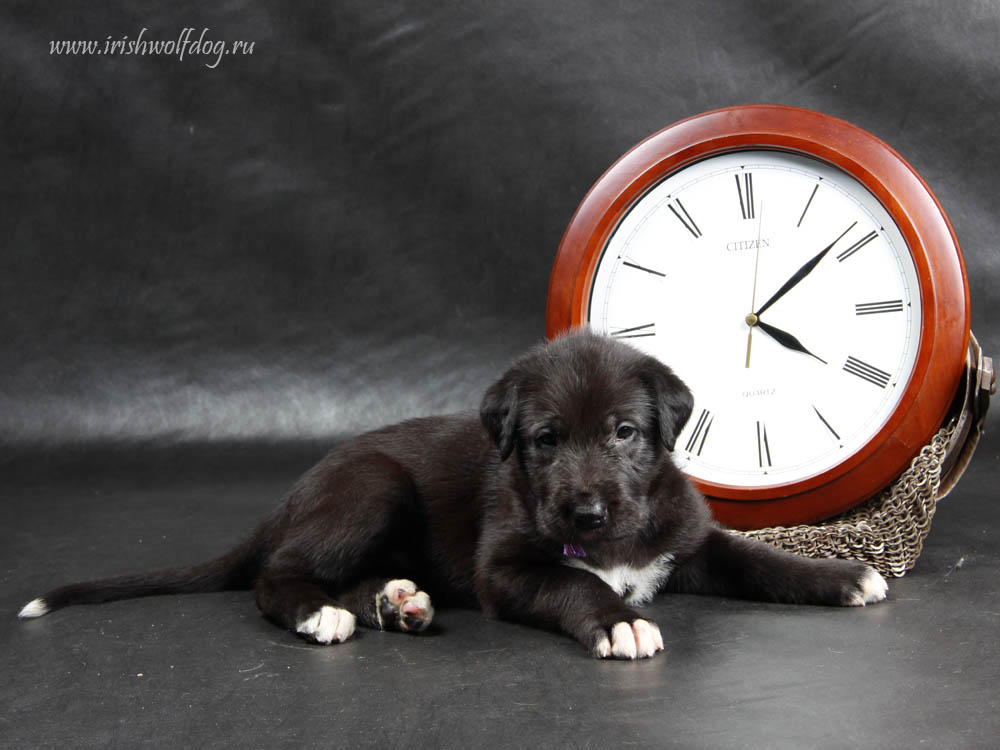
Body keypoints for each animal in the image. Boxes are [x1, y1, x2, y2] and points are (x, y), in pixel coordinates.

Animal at [19, 332, 888, 660]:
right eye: (544, 440)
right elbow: (574, 583)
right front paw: (619, 622)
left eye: (625, 432)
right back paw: (321, 614)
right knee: (281, 573)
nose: (586, 512)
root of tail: (293, 495)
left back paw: (397, 602)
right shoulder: (506, 570)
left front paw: (842, 577)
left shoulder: (687, 539)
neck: (615, 540)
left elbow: (753, 557)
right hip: (371, 489)